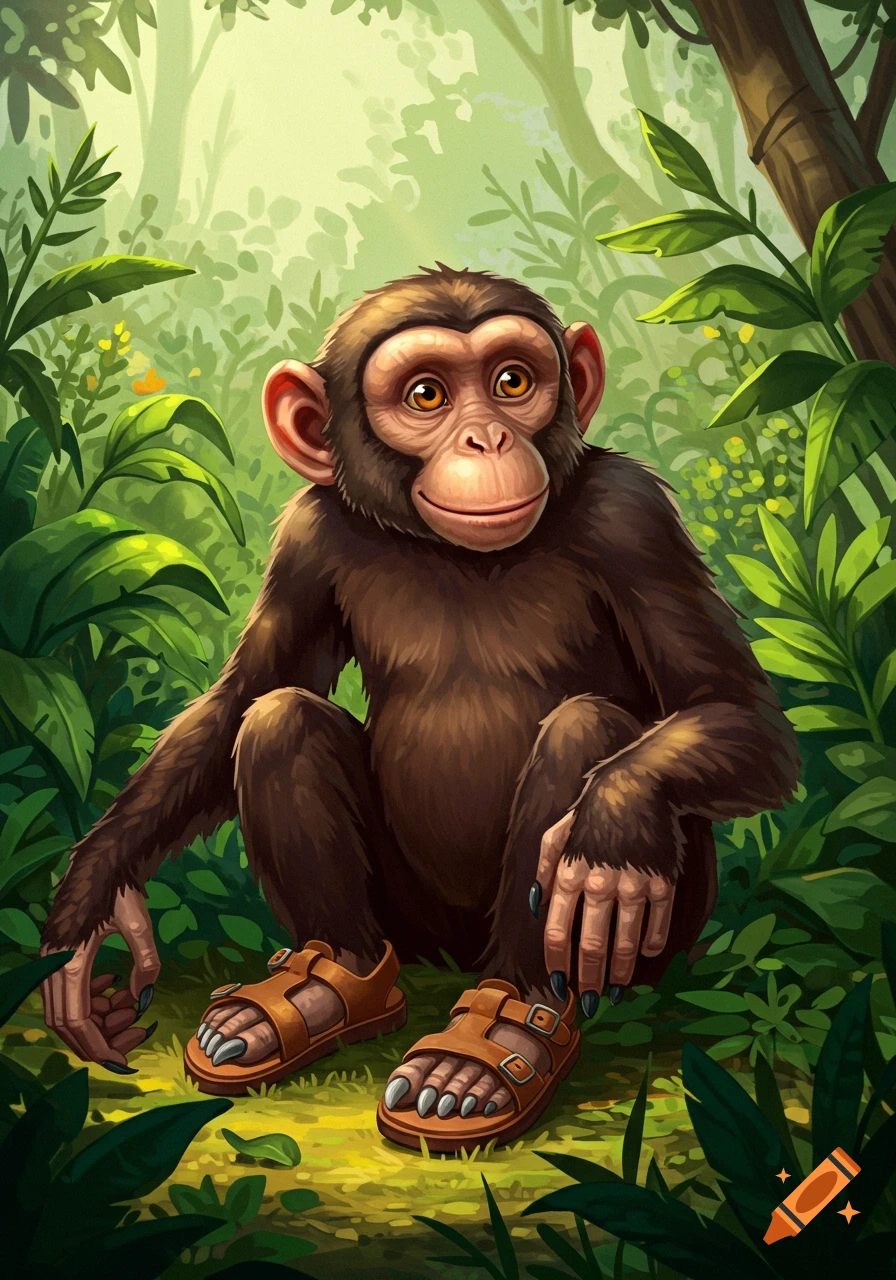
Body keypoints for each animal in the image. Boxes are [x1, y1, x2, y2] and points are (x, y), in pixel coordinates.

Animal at [40, 266, 799, 1153]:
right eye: (428, 395)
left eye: (513, 383)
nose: (487, 440)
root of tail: (456, 960)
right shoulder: (308, 537)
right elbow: (241, 698)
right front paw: (87, 906)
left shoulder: (632, 514)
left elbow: (735, 708)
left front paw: (611, 829)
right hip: (411, 924)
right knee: (281, 720)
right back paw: (323, 986)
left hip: (660, 936)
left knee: (585, 730)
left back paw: (494, 1040)